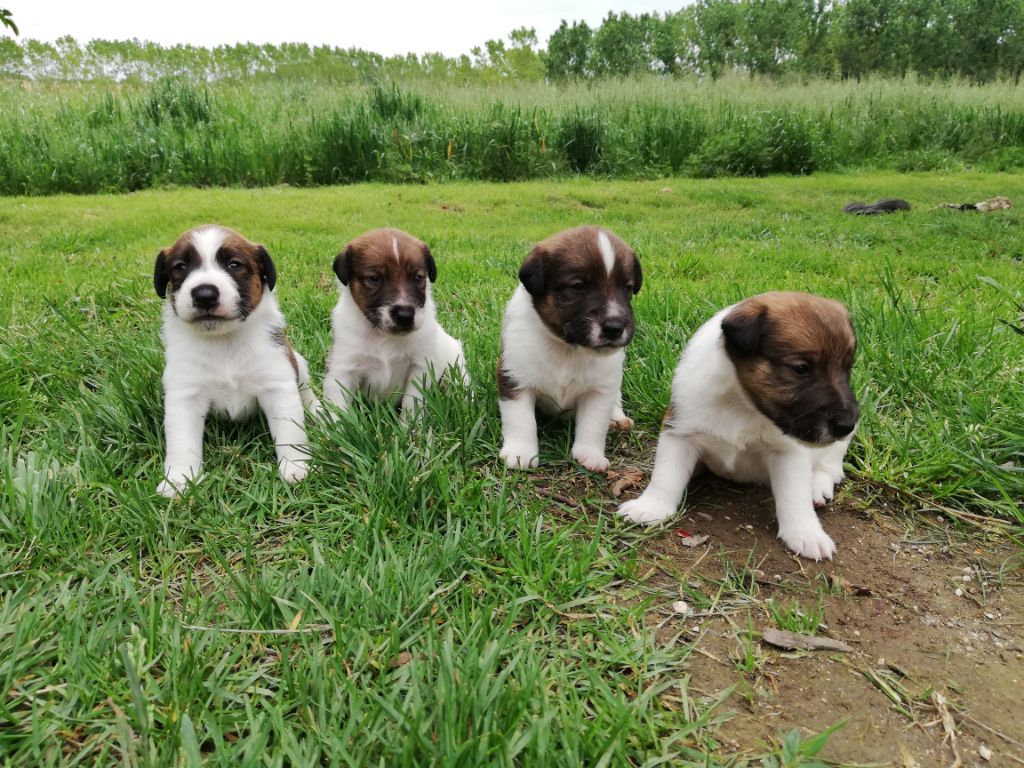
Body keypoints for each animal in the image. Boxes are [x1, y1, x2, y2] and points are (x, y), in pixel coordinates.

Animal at [151, 222, 315, 499]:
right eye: (180, 267)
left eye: (234, 264)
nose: (205, 294)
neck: (223, 341)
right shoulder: (183, 396)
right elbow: (182, 442)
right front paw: (179, 480)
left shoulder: (278, 386)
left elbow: (290, 430)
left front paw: (296, 466)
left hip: (298, 364)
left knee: (308, 392)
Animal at [323, 227, 468, 415]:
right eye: (374, 279)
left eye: (418, 277)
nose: (405, 315)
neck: (384, 336)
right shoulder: (343, 369)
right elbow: (337, 410)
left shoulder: (419, 367)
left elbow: (411, 405)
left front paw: (411, 424)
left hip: (455, 364)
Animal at [495, 225, 638, 473]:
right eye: (578, 286)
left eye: (627, 288)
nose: (615, 328)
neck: (567, 349)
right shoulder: (514, 379)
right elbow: (520, 421)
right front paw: (520, 453)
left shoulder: (600, 391)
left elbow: (594, 425)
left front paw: (590, 455)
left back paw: (618, 418)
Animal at [618, 290, 860, 561]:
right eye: (801, 368)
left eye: (847, 369)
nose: (847, 425)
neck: (742, 403)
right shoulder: (680, 432)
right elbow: (666, 476)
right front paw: (651, 507)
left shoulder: (789, 451)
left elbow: (794, 496)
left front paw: (805, 533)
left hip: (835, 449)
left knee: (829, 469)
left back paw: (817, 488)